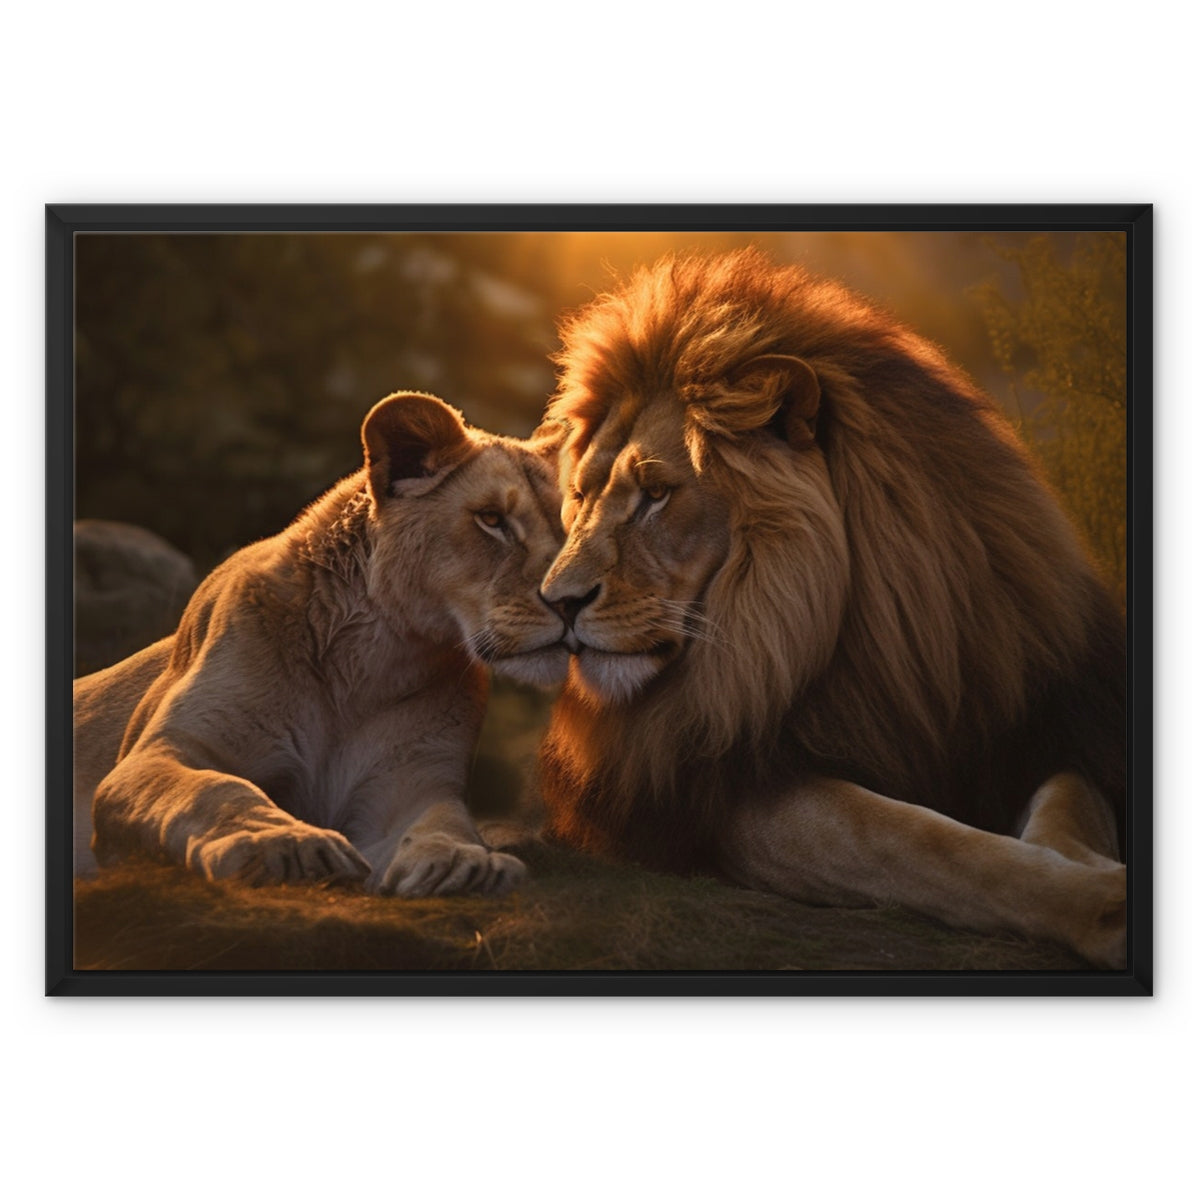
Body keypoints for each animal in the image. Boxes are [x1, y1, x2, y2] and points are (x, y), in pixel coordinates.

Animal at [74, 391, 568, 896]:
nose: (571, 600)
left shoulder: (409, 787)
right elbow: (218, 790)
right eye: (492, 520)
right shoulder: (159, 755)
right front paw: (284, 843)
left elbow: (443, 823)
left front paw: (462, 862)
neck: (369, 662)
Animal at [535, 249, 1128, 968]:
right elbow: (917, 842)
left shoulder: (1045, 725)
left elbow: (1062, 809)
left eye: (656, 494)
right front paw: (1108, 905)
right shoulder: (723, 786)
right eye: (581, 495)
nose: (558, 601)